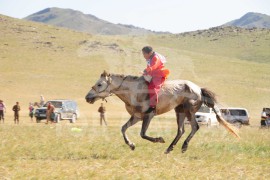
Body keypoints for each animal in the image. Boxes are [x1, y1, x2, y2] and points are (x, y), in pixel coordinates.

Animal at [85, 71, 238, 154]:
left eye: (99, 84)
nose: (88, 97)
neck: (134, 91)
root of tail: (199, 89)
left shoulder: (148, 115)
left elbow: (143, 134)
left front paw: (159, 139)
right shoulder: (137, 117)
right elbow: (123, 129)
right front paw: (131, 145)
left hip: (189, 110)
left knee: (194, 127)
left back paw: (183, 147)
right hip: (179, 112)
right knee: (181, 130)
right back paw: (169, 149)